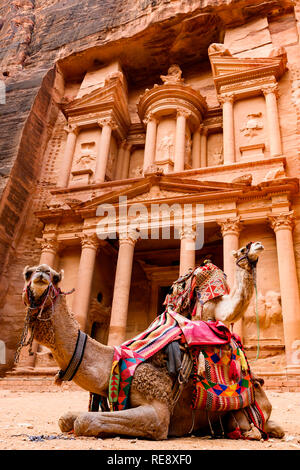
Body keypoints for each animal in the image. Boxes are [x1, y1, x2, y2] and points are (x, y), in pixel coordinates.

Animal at [17, 242, 284, 440]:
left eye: (55, 277)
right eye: (27, 273)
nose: (41, 273)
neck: (116, 361)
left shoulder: (158, 412)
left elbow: (85, 420)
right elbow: (66, 419)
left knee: (269, 426)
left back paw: (252, 431)